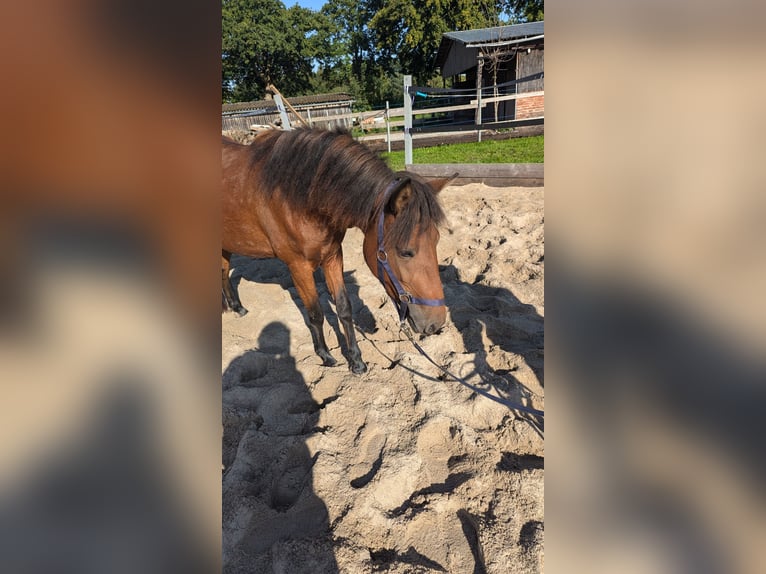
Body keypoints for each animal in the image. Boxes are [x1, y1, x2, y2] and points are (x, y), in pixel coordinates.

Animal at [222, 128, 452, 376]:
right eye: (406, 252)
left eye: (437, 241)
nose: (436, 323)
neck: (298, 195)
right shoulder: (298, 266)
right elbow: (315, 313)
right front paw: (325, 355)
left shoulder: (332, 256)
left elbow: (343, 308)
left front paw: (356, 361)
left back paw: (236, 307)